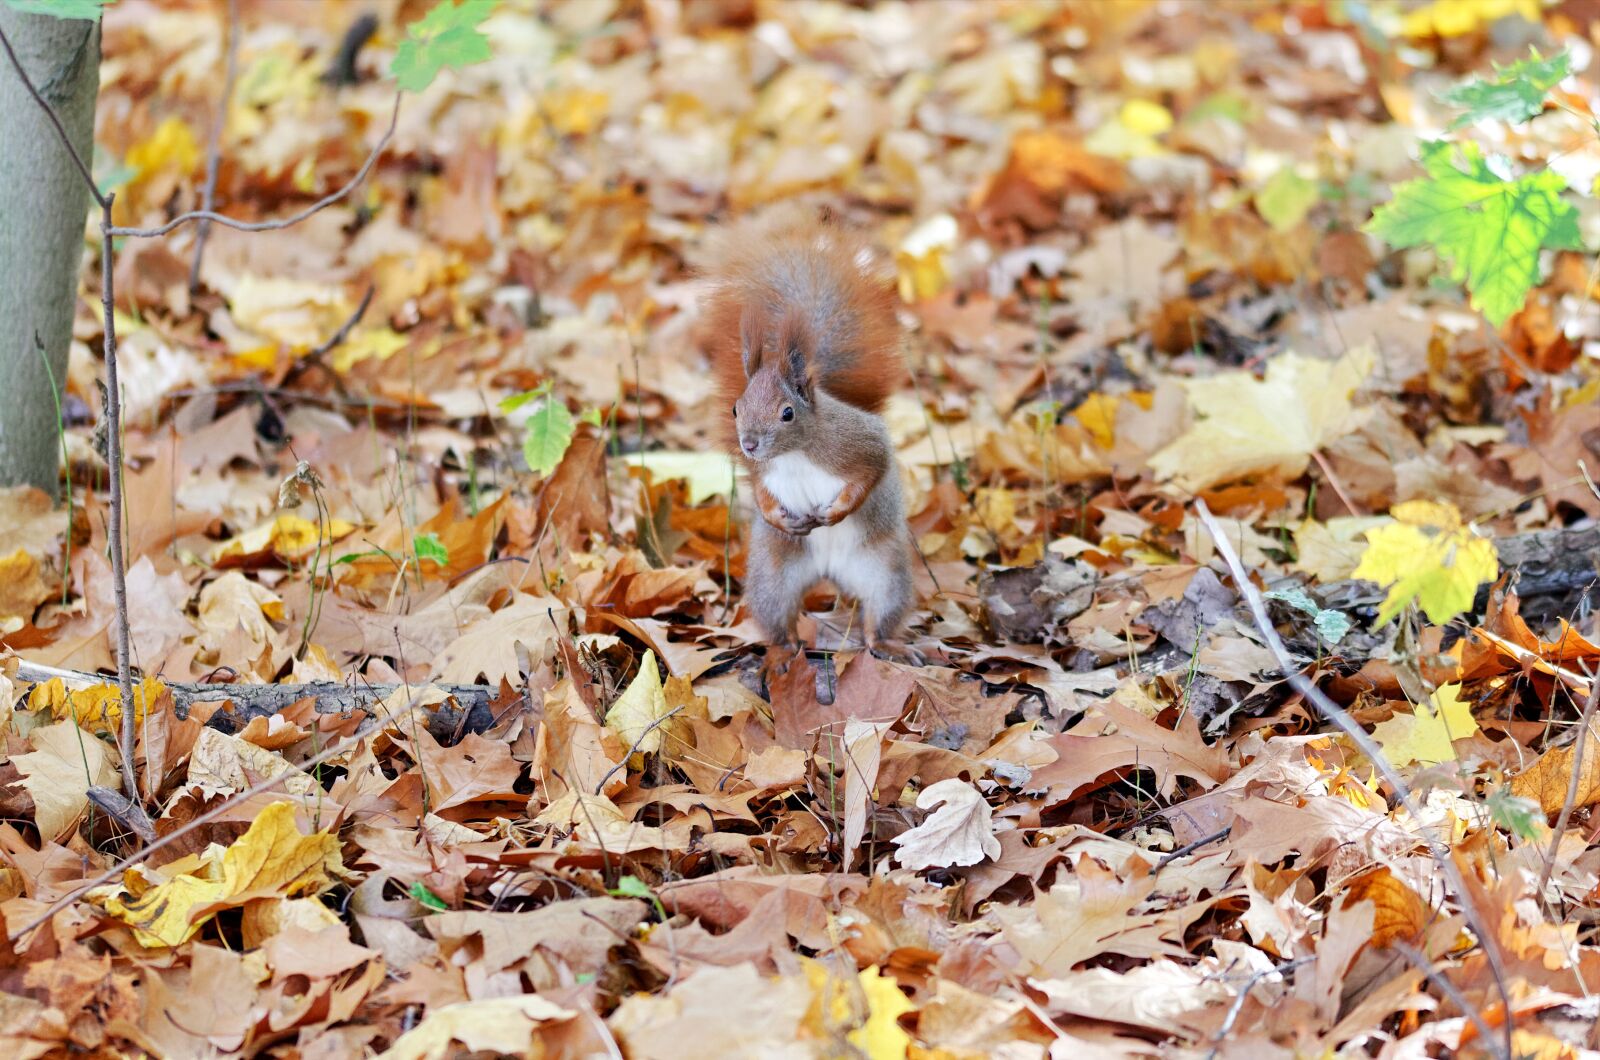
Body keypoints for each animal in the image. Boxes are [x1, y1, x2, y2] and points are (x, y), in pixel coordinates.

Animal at [702, 205, 919, 662]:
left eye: (787, 413)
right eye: (735, 408)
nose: (749, 443)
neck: (795, 453)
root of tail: (829, 572)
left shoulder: (860, 442)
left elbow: (872, 469)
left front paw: (836, 512)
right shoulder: (759, 469)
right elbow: (759, 489)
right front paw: (777, 515)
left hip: (885, 575)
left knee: (878, 615)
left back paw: (884, 644)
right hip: (773, 578)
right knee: (778, 618)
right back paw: (785, 651)